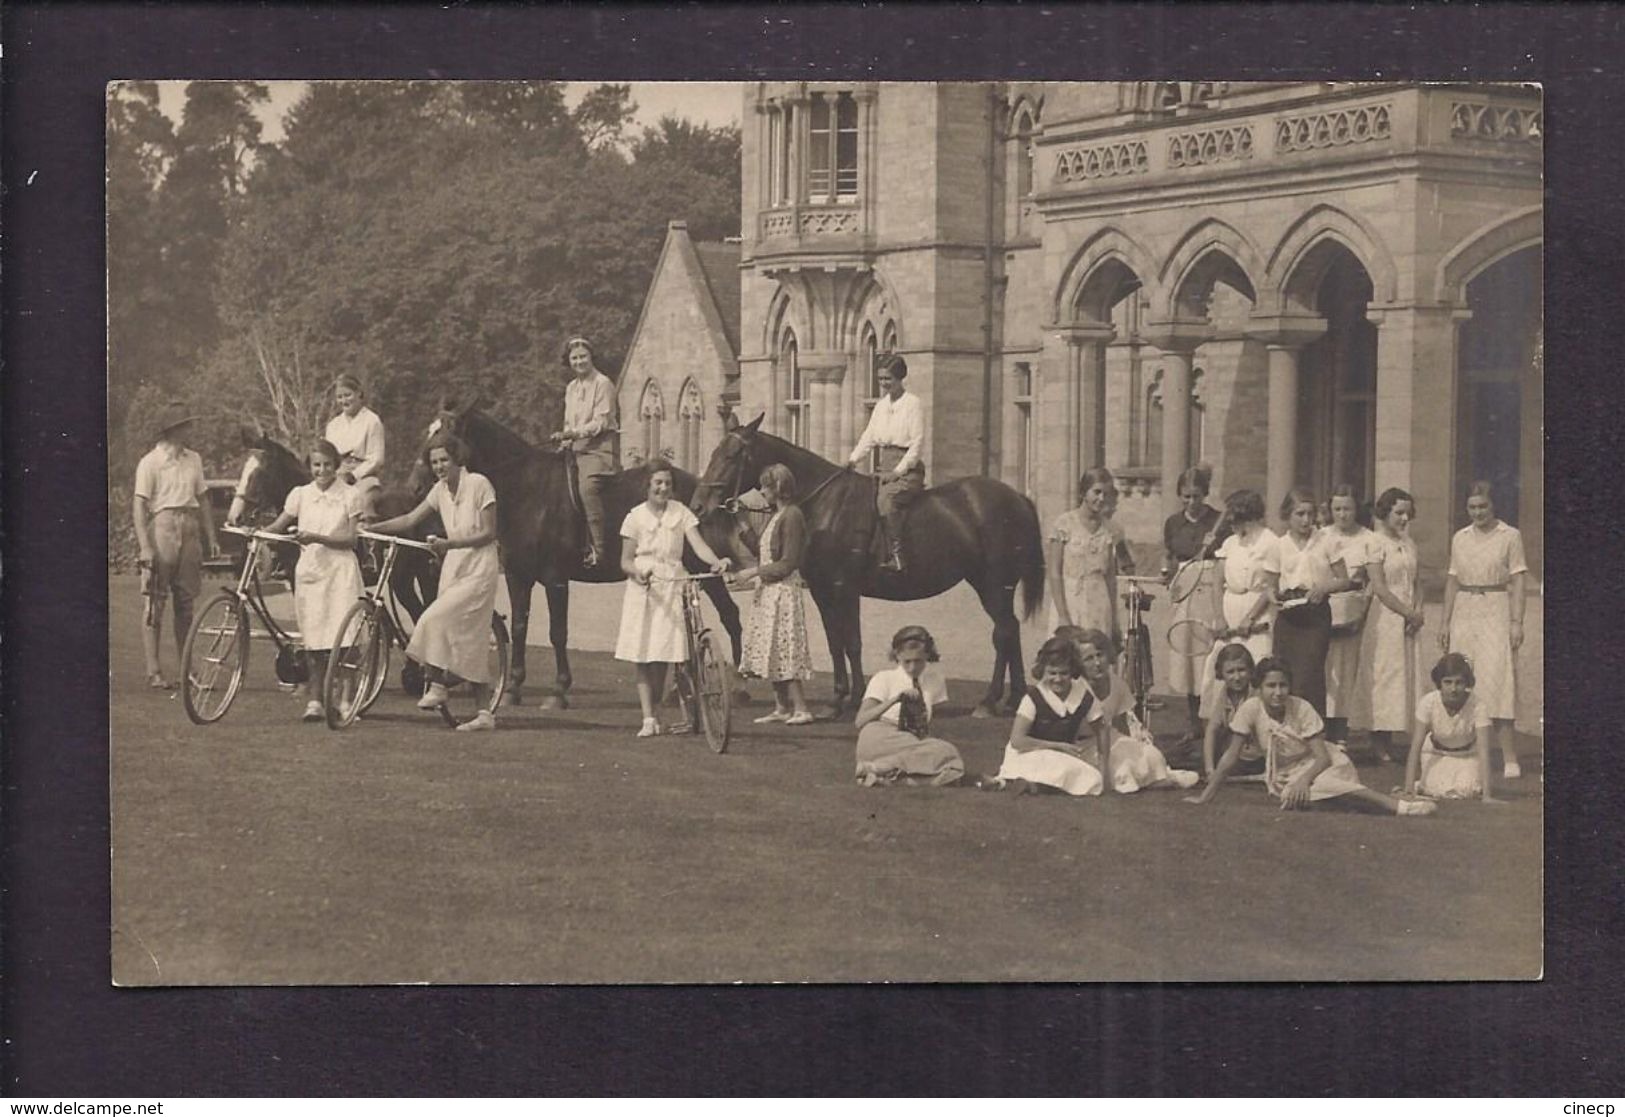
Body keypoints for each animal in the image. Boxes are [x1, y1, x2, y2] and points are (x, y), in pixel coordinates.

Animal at [419, 395, 747, 708]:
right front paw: (513, 688)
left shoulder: (555, 579)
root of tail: (703, 491)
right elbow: (519, 626)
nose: (424, 477)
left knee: (731, 615)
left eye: (448, 437)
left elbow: (557, 632)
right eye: (429, 432)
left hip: (703, 567)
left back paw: (736, 687)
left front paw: (559, 690)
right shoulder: (517, 576)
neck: (527, 491)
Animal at [685, 416, 1040, 715]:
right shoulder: (823, 591)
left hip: (994, 584)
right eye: (715, 451)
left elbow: (852, 642)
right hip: (991, 584)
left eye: (732, 455)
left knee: (1004, 632)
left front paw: (854, 696)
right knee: (1010, 631)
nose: (698, 506)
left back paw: (990, 700)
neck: (825, 503)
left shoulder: (845, 589)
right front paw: (839, 696)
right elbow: (835, 641)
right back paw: (1012, 699)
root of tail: (1017, 498)